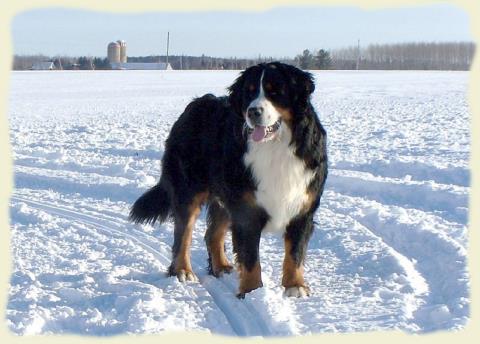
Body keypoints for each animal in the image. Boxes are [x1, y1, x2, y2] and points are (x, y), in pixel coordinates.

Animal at [129, 61, 328, 298]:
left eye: (275, 91)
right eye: (249, 92)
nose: (253, 111)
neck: (275, 148)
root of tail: (196, 104)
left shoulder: (302, 207)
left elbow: (295, 253)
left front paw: (295, 286)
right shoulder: (246, 211)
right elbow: (251, 259)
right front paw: (252, 292)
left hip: (225, 195)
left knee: (212, 234)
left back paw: (221, 267)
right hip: (189, 191)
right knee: (183, 235)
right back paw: (182, 271)